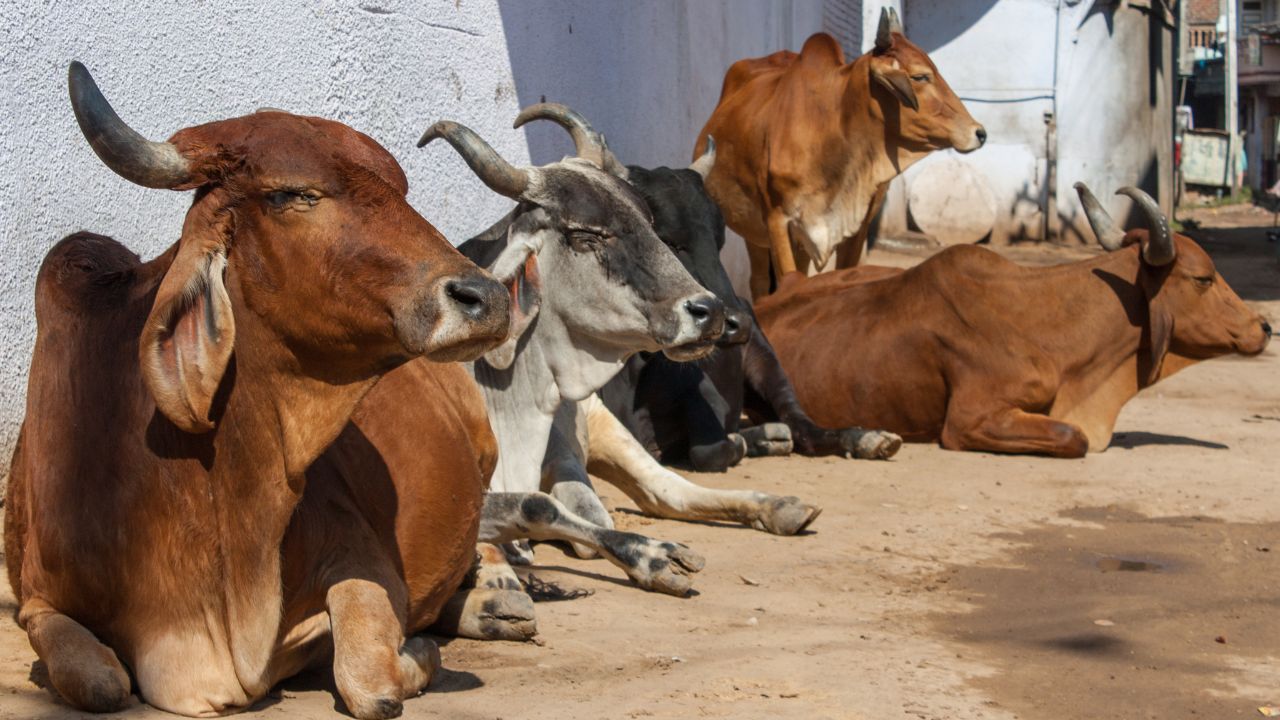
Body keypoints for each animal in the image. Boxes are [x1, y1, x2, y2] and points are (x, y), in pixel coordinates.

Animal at [4, 63, 511, 718]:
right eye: (292, 194)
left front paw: (417, 653)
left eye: (402, 192)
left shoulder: (364, 558)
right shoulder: (38, 598)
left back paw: (498, 594)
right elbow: (98, 681)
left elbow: (369, 681)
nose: (487, 298)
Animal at [696, 8, 986, 298]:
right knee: (758, 282)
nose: (979, 133)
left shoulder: (857, 225)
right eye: (920, 76)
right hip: (753, 231)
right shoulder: (777, 220)